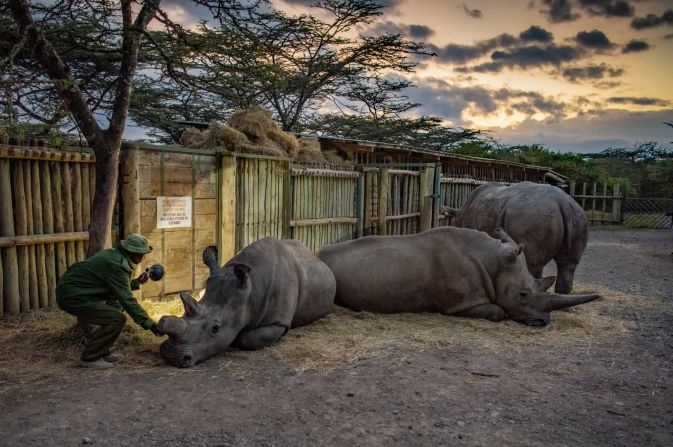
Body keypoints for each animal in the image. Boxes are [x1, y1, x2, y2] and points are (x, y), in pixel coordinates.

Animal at [158, 238, 336, 368]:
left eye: (215, 329)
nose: (170, 355)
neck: (252, 288)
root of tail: (317, 259)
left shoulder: (279, 322)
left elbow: (248, 339)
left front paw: (236, 339)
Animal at [440, 181, 584, 294]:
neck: (460, 214)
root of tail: (563, 203)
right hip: (576, 215)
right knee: (568, 263)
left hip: (533, 216)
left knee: (532, 264)